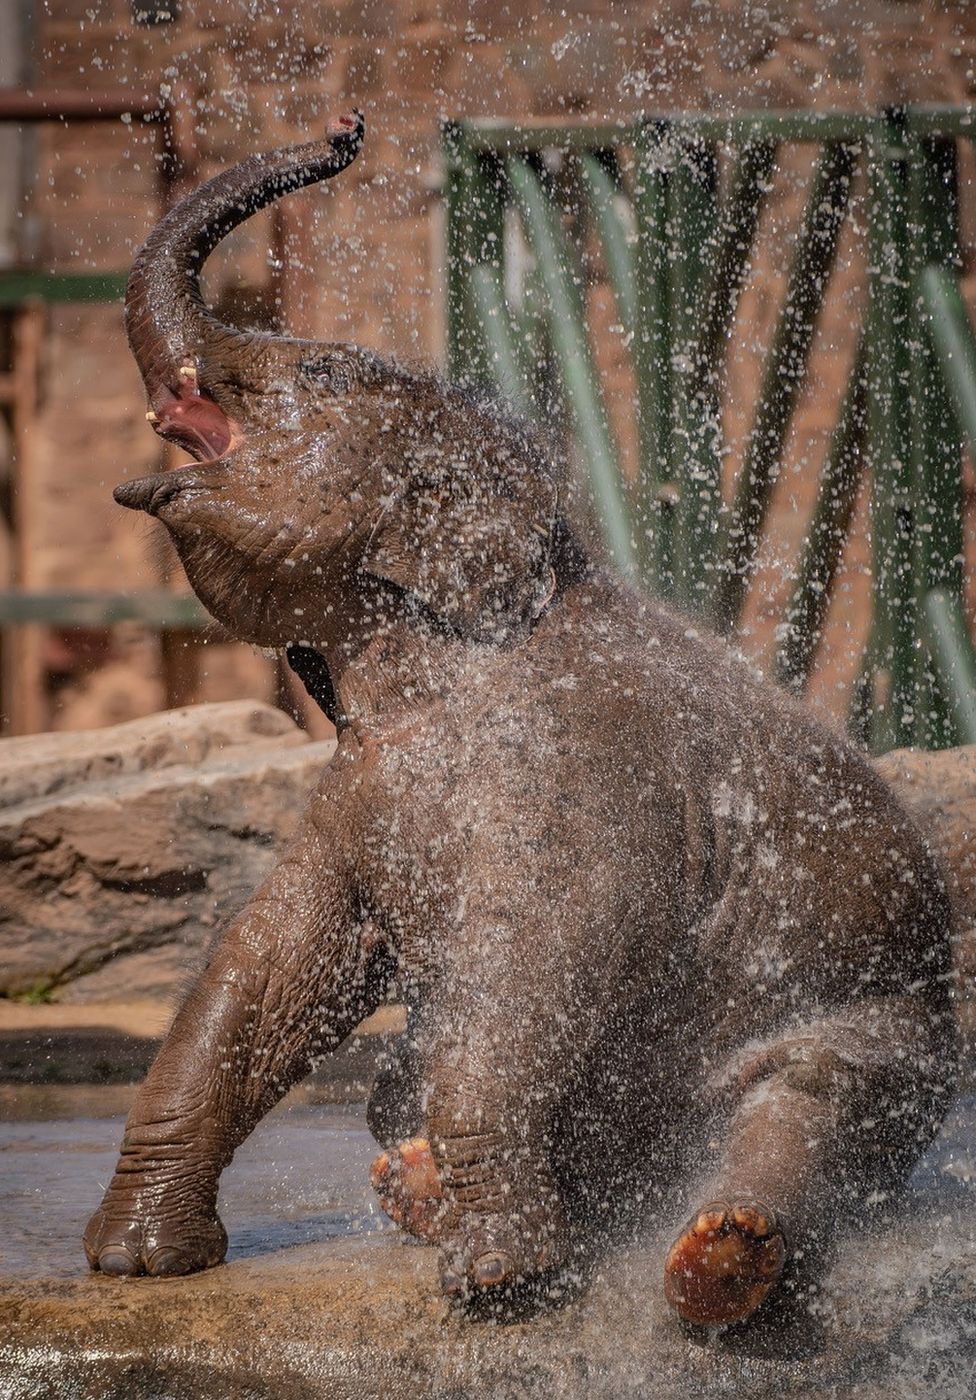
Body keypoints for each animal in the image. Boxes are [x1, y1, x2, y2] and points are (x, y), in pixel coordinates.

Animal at [83, 112, 952, 1321]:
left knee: (807, 1107)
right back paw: (415, 1191)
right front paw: (136, 1262)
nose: (347, 131)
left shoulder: (575, 781)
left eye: (322, 371)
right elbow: (273, 957)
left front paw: (504, 1285)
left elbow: (531, 960)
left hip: (887, 1028)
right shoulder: (361, 792)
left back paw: (719, 1257)